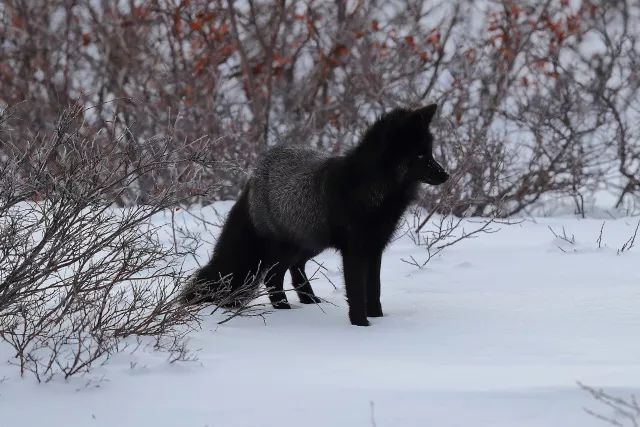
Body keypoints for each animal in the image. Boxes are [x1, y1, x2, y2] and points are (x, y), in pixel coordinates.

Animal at [182, 105, 448, 326]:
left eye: (430, 153)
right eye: (420, 155)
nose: (446, 175)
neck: (372, 188)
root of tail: (254, 175)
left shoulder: (375, 248)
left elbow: (375, 290)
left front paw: (378, 319)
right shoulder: (354, 250)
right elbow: (356, 292)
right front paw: (361, 325)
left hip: (309, 243)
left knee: (292, 269)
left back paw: (306, 300)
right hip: (285, 246)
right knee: (273, 276)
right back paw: (283, 308)